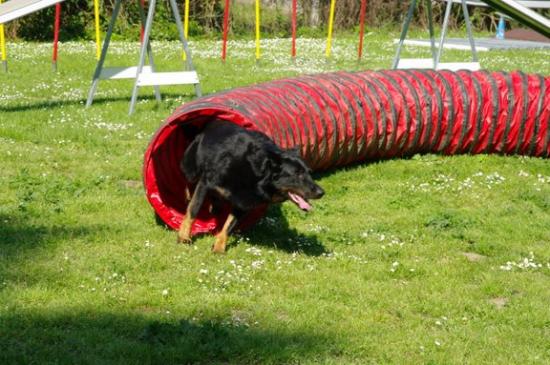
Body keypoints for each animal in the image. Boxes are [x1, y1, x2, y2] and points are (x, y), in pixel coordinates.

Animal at [178, 119, 324, 253]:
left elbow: (229, 225)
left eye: (309, 172)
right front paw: (184, 237)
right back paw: (188, 196)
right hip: (191, 168)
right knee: (187, 181)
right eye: (297, 174)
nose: (321, 192)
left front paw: (219, 247)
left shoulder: (243, 203)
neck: (254, 174)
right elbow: (194, 209)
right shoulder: (206, 183)